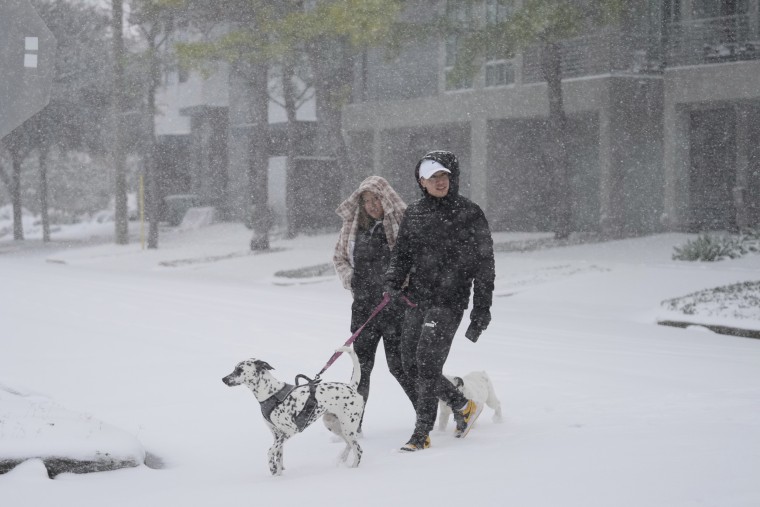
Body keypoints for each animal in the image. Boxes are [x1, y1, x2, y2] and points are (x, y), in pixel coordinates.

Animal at [221, 346, 364, 476]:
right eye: (234, 368)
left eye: (239, 370)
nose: (223, 379)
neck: (271, 395)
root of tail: (351, 387)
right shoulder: (277, 434)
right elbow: (279, 456)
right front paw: (278, 476)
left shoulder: (289, 430)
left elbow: (270, 451)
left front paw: (272, 468)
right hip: (334, 425)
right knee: (349, 445)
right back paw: (342, 460)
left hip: (348, 427)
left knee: (358, 450)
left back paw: (353, 470)